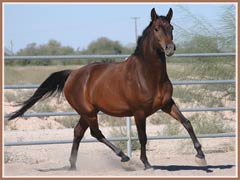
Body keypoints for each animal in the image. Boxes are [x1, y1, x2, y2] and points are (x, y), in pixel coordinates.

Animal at [7, 7, 206, 170]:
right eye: (157, 28)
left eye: (171, 28)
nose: (169, 48)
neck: (148, 75)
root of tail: (73, 74)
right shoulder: (139, 112)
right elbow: (143, 137)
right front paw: (147, 164)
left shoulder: (167, 104)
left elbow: (187, 123)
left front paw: (200, 156)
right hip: (89, 112)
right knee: (95, 132)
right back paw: (123, 157)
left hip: (87, 112)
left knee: (78, 132)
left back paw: (73, 165)